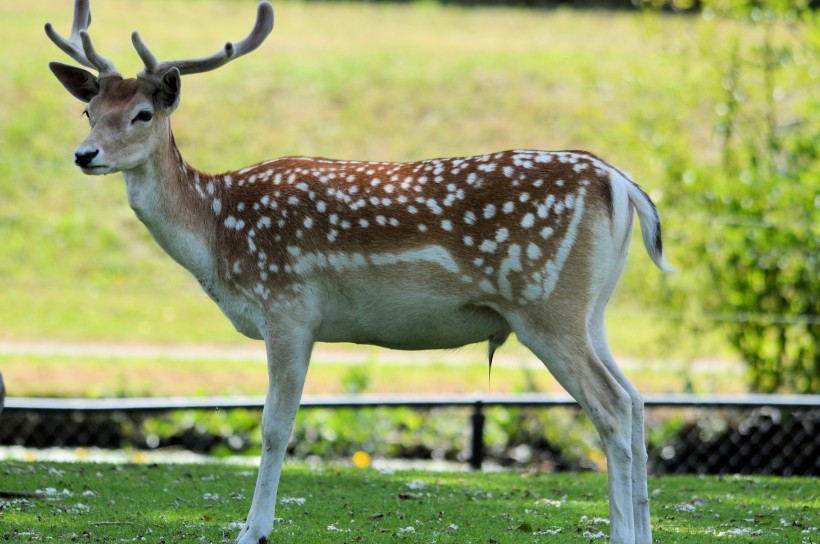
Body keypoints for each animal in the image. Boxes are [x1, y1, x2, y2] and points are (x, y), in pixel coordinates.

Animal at [46, 2, 672, 540]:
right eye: (88, 110)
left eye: (142, 113)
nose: (83, 154)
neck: (218, 234)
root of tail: (621, 184)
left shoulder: (288, 304)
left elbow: (275, 426)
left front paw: (253, 530)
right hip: (591, 309)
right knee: (638, 401)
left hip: (545, 302)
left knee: (612, 407)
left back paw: (623, 534)